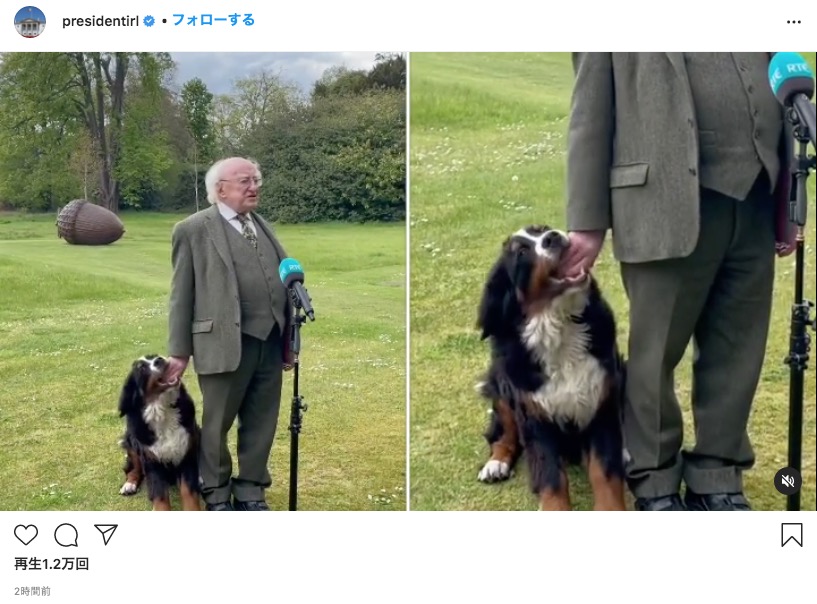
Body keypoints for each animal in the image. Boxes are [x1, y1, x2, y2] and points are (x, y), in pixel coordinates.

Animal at [116, 354, 201, 510]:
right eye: (141, 368)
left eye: (154, 356)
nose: (160, 359)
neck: (163, 411)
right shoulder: (152, 461)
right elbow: (160, 496)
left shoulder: (185, 453)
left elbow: (189, 492)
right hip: (131, 442)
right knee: (133, 468)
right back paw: (129, 484)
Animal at [472, 225, 624, 510]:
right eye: (521, 253)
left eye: (540, 230)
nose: (552, 236)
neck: (560, 329)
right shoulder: (535, 418)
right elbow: (551, 480)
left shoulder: (599, 404)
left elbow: (605, 473)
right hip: (502, 387)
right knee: (503, 433)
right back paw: (496, 463)